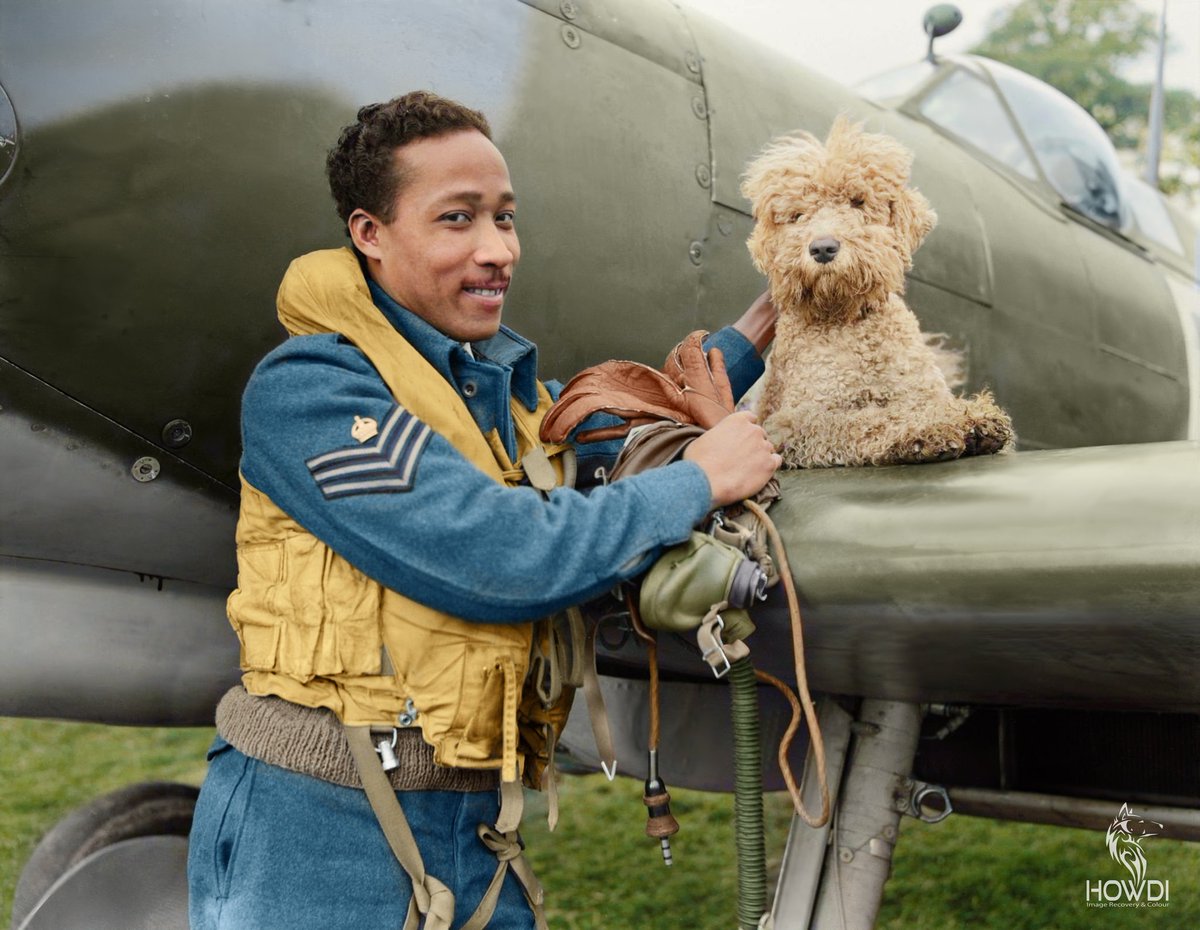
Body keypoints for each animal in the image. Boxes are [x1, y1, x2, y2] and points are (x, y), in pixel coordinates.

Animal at [739, 115, 1012, 465]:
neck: (852, 322)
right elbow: (867, 421)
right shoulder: (796, 420)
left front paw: (976, 416)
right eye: (797, 215)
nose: (823, 248)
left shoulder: (920, 387)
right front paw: (928, 429)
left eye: (858, 201)